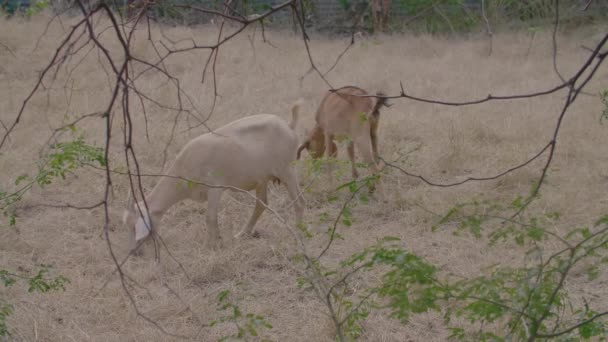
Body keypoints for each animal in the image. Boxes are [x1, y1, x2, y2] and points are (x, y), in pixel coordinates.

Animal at [122, 103, 304, 252]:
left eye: (134, 227)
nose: (133, 252)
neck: (185, 165)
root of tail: (288, 126)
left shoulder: (215, 188)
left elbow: (210, 217)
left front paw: (212, 245)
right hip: (262, 179)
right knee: (262, 204)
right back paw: (242, 234)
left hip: (288, 170)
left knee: (299, 202)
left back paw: (298, 234)